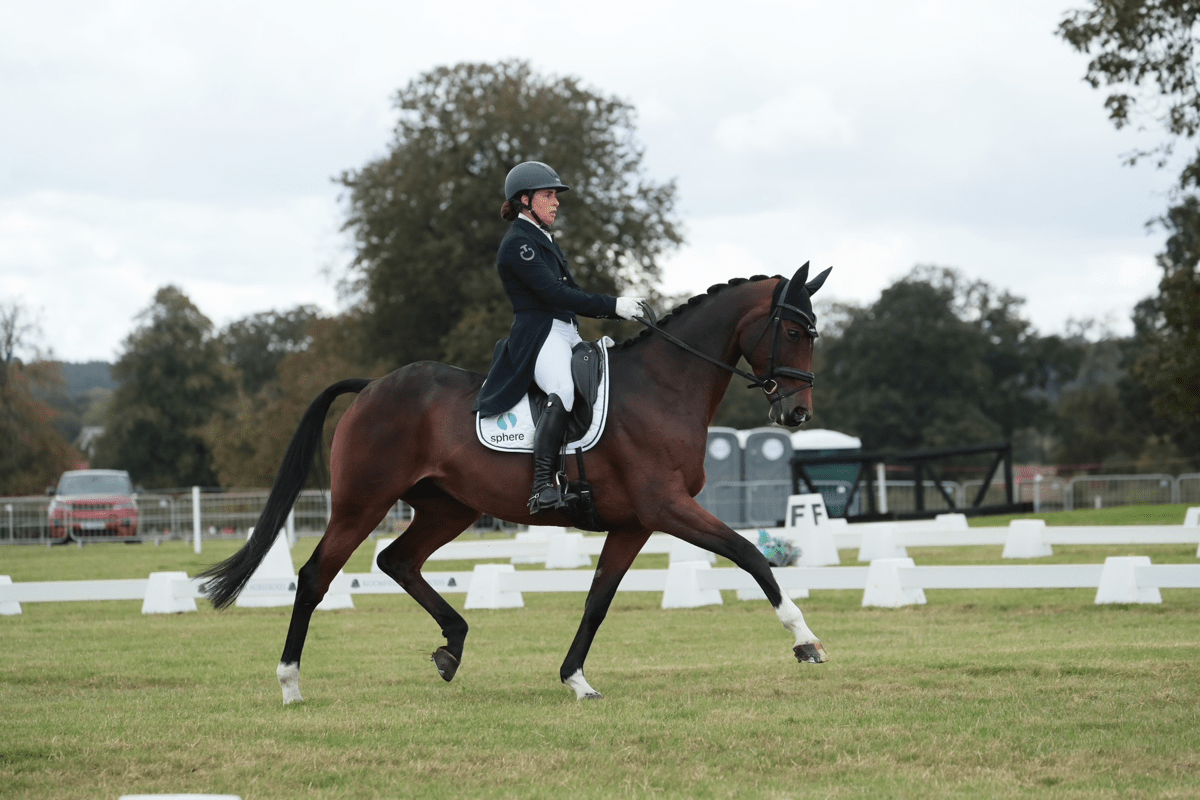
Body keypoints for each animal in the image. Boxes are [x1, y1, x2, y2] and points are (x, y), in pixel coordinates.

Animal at [200, 261, 833, 703]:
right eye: (793, 330)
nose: (797, 413)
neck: (662, 386)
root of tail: (374, 385)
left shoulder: (633, 524)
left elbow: (598, 600)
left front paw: (576, 679)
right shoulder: (666, 507)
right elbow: (751, 555)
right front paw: (804, 639)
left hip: (447, 508)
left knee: (397, 561)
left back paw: (452, 646)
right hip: (362, 502)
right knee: (315, 576)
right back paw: (290, 683)